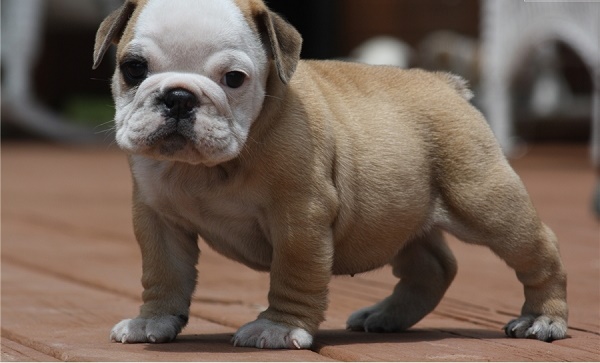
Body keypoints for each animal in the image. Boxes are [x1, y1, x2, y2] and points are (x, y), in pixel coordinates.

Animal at [92, 0, 568, 350]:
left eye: (234, 78)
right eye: (133, 68)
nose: (178, 96)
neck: (206, 168)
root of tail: (445, 83)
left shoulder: (299, 218)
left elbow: (294, 273)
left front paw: (279, 328)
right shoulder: (159, 221)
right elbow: (163, 274)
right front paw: (153, 321)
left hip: (484, 203)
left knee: (539, 251)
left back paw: (543, 318)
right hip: (394, 217)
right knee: (432, 267)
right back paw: (386, 315)